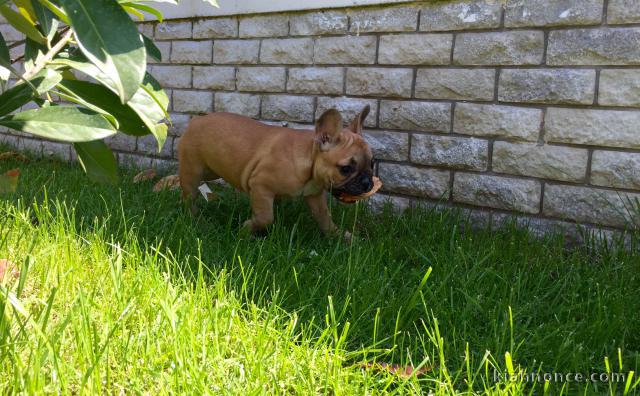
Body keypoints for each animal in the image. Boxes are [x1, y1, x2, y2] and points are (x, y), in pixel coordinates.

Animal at [176, 104, 376, 238]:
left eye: (372, 164)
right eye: (346, 168)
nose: (367, 182)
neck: (310, 161)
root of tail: (197, 120)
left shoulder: (314, 196)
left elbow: (324, 218)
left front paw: (340, 235)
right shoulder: (261, 187)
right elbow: (265, 217)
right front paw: (247, 230)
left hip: (212, 169)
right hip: (193, 169)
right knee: (189, 196)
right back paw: (196, 219)